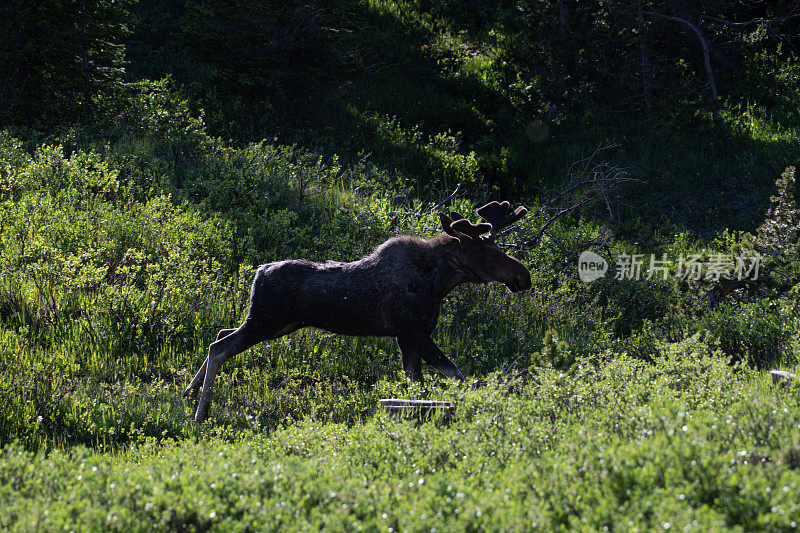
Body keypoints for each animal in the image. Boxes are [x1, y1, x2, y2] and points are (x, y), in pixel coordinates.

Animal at [184, 200, 528, 420]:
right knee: (219, 346)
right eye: (483, 249)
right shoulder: (413, 332)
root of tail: (258, 273)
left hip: (275, 323)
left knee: (221, 333)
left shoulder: (407, 338)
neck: (438, 283)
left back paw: (189, 393)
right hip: (265, 321)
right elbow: (457, 375)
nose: (523, 275)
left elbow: (417, 386)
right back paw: (201, 412)